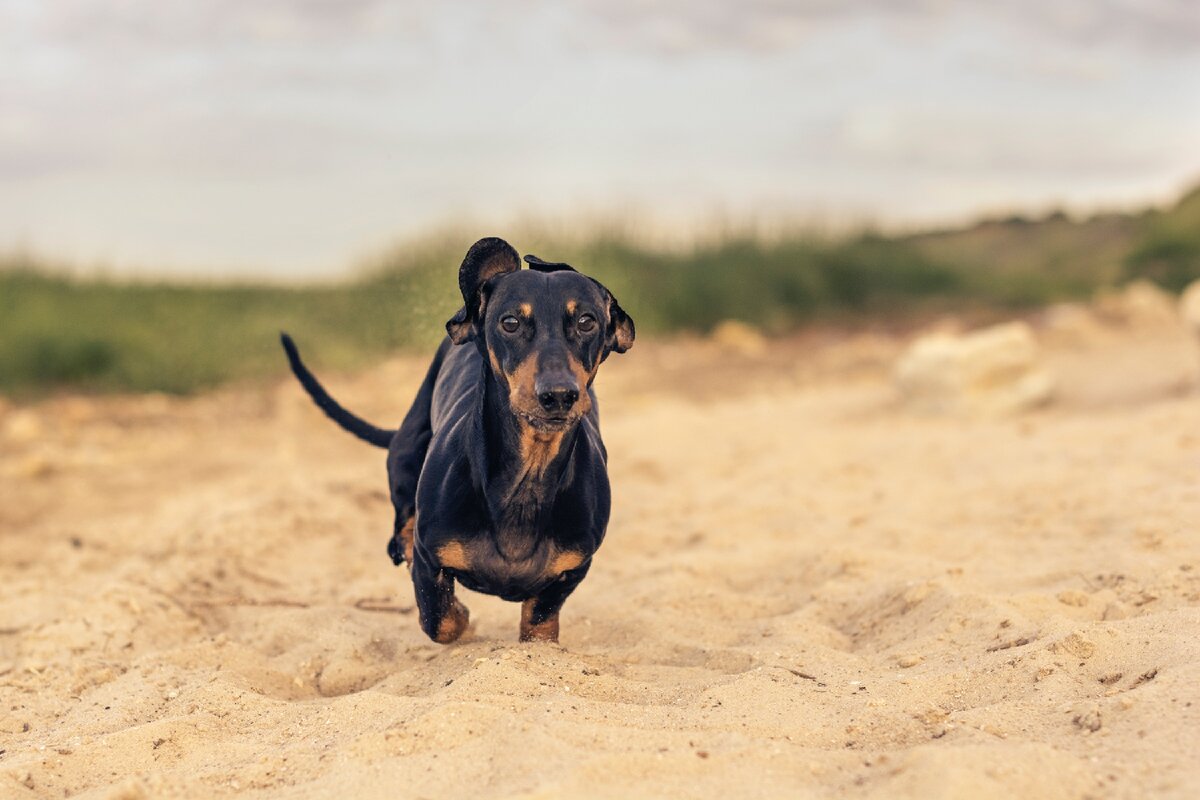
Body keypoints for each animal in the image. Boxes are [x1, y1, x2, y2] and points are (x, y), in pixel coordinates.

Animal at [282, 237, 638, 642]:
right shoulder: (428, 558)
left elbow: (540, 618)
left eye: (586, 321)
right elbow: (441, 619)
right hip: (405, 458)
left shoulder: (575, 567)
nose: (560, 395)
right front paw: (462, 621)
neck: (528, 475)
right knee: (402, 526)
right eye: (510, 322)